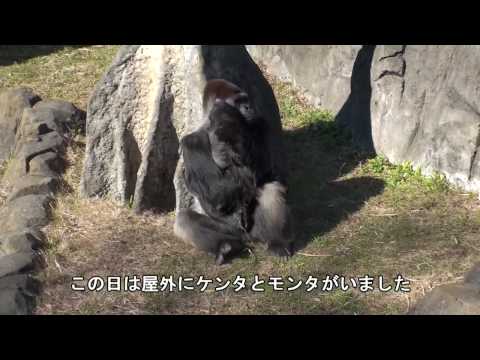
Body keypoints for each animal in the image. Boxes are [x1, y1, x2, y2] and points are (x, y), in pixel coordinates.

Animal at [172, 79, 292, 264]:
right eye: (238, 102)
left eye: (246, 100)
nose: (249, 107)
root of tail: (248, 238)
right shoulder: (190, 143)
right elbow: (217, 191)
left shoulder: (259, 123)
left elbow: (263, 171)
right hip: (232, 232)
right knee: (183, 220)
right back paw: (226, 247)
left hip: (255, 231)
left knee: (271, 188)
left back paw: (277, 242)